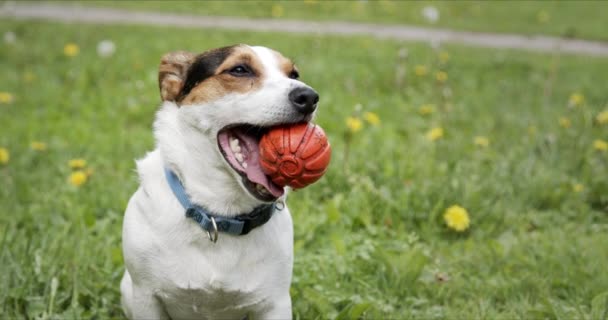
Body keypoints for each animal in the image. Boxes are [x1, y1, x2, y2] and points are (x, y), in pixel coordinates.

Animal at [119, 45, 318, 320]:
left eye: (294, 74)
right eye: (239, 69)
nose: (309, 96)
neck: (220, 213)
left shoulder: (275, 303)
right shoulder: (146, 298)